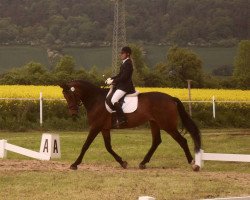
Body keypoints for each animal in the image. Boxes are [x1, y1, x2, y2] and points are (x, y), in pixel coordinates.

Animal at [60, 80, 201, 171]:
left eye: (70, 94)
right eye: (64, 96)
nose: (73, 113)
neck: (95, 100)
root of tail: (171, 98)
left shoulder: (95, 127)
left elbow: (85, 146)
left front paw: (74, 164)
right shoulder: (104, 128)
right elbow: (108, 147)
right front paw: (123, 163)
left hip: (168, 125)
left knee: (182, 141)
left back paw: (193, 164)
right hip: (154, 123)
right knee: (156, 141)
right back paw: (143, 163)